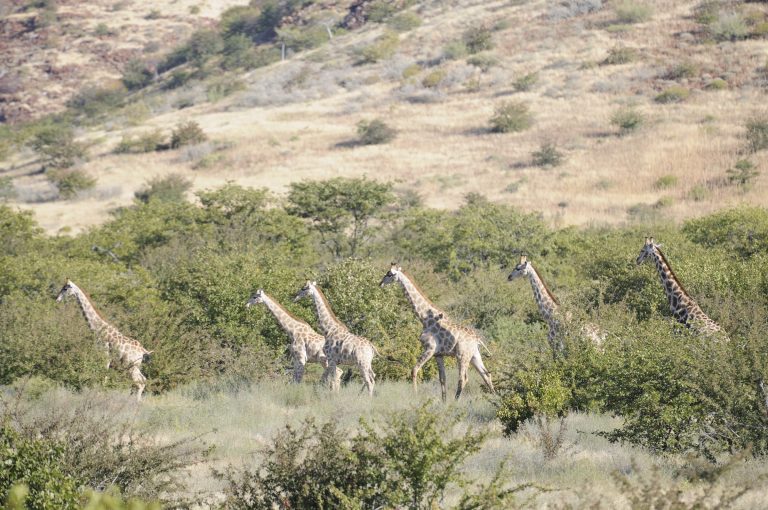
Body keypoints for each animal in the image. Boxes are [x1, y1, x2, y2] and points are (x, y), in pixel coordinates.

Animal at [380, 264, 496, 400]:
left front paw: (415, 395)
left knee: (463, 378)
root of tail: (477, 339)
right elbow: (442, 378)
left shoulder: (430, 349)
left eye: (390, 274)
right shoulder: (438, 354)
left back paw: (456, 401)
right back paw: (496, 398)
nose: (380, 283)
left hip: (462, 355)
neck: (424, 318)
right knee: (486, 374)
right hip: (474, 355)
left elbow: (414, 370)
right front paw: (443, 401)